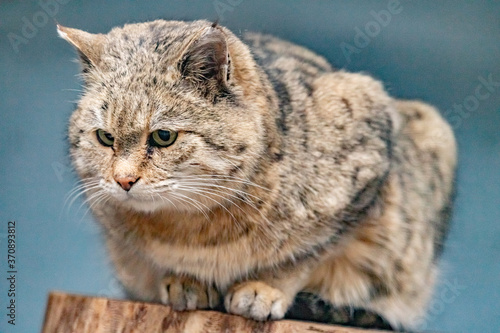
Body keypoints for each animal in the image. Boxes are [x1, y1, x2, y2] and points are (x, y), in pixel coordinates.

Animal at [58, 20, 458, 330]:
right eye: (105, 137)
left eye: (163, 136)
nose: (124, 180)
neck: (194, 229)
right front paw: (187, 281)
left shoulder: (363, 177)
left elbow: (304, 253)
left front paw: (264, 288)